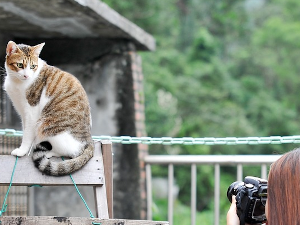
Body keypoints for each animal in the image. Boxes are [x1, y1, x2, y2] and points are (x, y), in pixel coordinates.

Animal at [3, 41, 94, 177]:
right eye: (20, 65)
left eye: (33, 66)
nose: (26, 75)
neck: (17, 82)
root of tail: (89, 140)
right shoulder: (22, 112)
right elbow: (26, 130)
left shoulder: (31, 111)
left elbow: (27, 134)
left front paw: (22, 151)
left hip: (47, 126)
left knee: (70, 152)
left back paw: (49, 153)